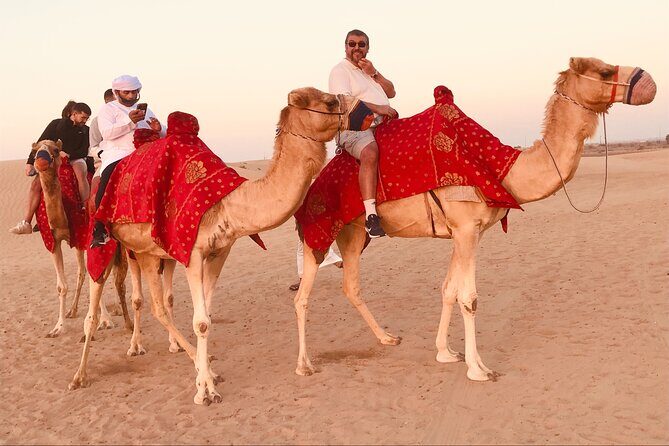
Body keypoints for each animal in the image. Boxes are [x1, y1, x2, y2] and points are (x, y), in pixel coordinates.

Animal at [32, 140, 132, 337]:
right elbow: (62, 286)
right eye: (35, 151)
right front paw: (58, 327)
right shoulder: (53, 242)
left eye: (55, 150)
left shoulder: (86, 236)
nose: (41, 161)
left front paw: (105, 321)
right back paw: (73, 310)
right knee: (82, 271)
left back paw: (115, 310)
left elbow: (97, 276)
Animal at [68, 88, 360, 405]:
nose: (362, 109)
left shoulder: (219, 251)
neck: (227, 202)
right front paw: (205, 390)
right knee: (104, 308)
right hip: (108, 242)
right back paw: (79, 376)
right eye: (330, 102)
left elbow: (206, 313)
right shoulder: (193, 252)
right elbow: (201, 323)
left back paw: (160, 349)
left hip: (149, 252)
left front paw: (205, 374)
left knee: (159, 303)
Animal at [292, 57, 657, 380]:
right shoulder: (466, 228)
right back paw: (304, 365)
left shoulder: (467, 231)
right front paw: (478, 369)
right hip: (319, 230)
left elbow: (449, 290)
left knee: (351, 285)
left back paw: (387, 337)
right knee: (303, 295)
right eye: (605, 71)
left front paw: (446, 352)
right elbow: (469, 298)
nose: (648, 80)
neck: (502, 168)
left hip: (354, 234)